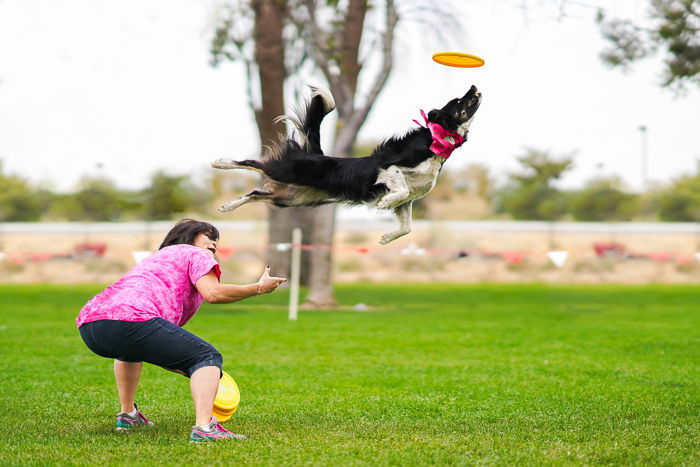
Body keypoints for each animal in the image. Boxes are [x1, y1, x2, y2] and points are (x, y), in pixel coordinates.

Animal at [212, 85, 482, 245]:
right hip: (288, 171)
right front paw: (384, 202)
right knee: (254, 163)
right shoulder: (388, 169)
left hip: (292, 198)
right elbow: (400, 188)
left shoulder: (408, 201)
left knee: (256, 193)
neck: (434, 142)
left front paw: (386, 237)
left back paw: (227, 206)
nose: (474, 87)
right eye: (458, 101)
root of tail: (317, 154)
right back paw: (220, 163)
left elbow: (407, 226)